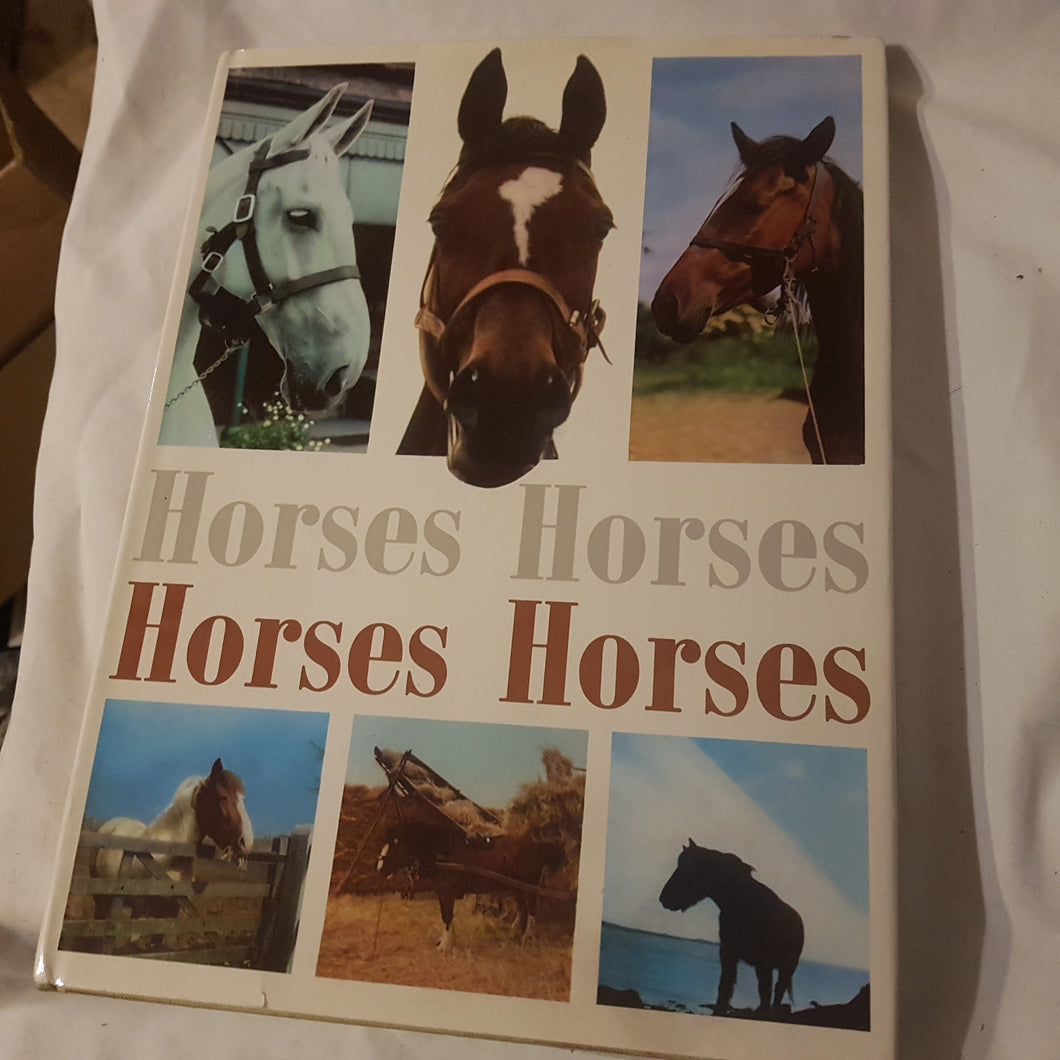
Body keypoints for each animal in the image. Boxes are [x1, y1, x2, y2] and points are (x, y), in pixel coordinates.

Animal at [376, 819, 565, 951]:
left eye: (395, 843)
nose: (380, 868)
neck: (443, 852)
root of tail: (536, 845)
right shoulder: (442, 891)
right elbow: (445, 915)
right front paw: (445, 940)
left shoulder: (447, 891)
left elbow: (447, 916)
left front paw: (445, 945)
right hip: (516, 887)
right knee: (522, 908)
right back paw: (514, 932)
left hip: (529, 885)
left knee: (532, 909)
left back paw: (528, 937)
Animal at [659, 839, 804, 1017]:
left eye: (689, 867)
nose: (664, 898)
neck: (740, 899)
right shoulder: (730, 954)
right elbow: (725, 986)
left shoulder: (757, 961)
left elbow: (754, 991)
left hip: (783, 968)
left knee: (776, 991)